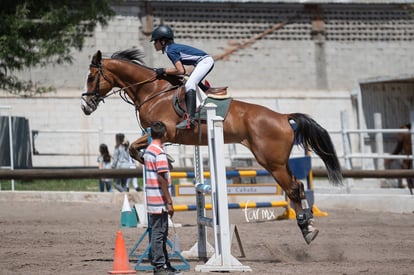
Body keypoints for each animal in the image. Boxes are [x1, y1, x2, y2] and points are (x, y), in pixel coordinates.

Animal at [81, 48, 342, 245]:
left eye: (91, 77)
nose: (85, 106)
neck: (152, 91)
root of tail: (282, 116)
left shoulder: (165, 130)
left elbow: (134, 148)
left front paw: (165, 160)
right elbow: (136, 149)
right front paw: (166, 160)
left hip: (272, 162)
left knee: (293, 189)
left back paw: (307, 229)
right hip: (279, 161)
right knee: (298, 185)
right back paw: (308, 224)